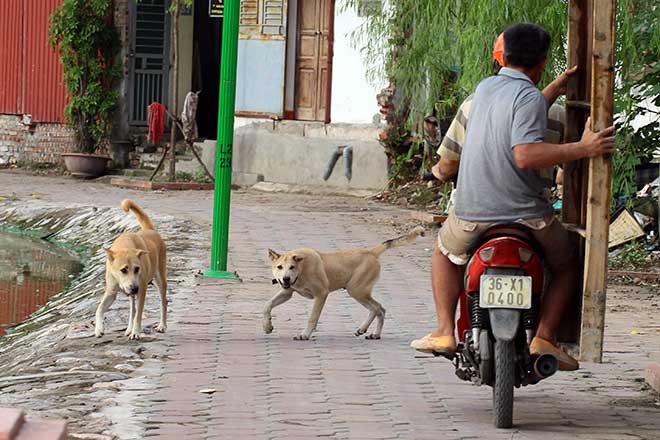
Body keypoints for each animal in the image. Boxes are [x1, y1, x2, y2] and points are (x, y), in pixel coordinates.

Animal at [95, 199, 168, 340]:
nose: (135, 288)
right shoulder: (111, 292)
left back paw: (162, 326)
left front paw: (136, 332)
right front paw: (99, 329)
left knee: (163, 302)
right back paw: (128, 328)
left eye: (137, 269)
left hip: (160, 280)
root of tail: (150, 230)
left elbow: (139, 314)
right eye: (123, 270)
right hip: (131, 293)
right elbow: (99, 309)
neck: (125, 245)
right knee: (132, 308)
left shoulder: (142, 290)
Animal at [262, 227, 422, 340]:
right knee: (378, 309)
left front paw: (305, 335)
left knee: (377, 308)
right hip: (358, 292)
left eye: (292, 267)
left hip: (356, 290)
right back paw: (372, 333)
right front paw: (267, 326)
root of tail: (371, 252)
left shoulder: (321, 294)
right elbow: (267, 305)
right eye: (279, 267)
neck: (302, 270)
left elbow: (313, 317)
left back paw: (367, 330)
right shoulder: (287, 292)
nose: (286, 279)